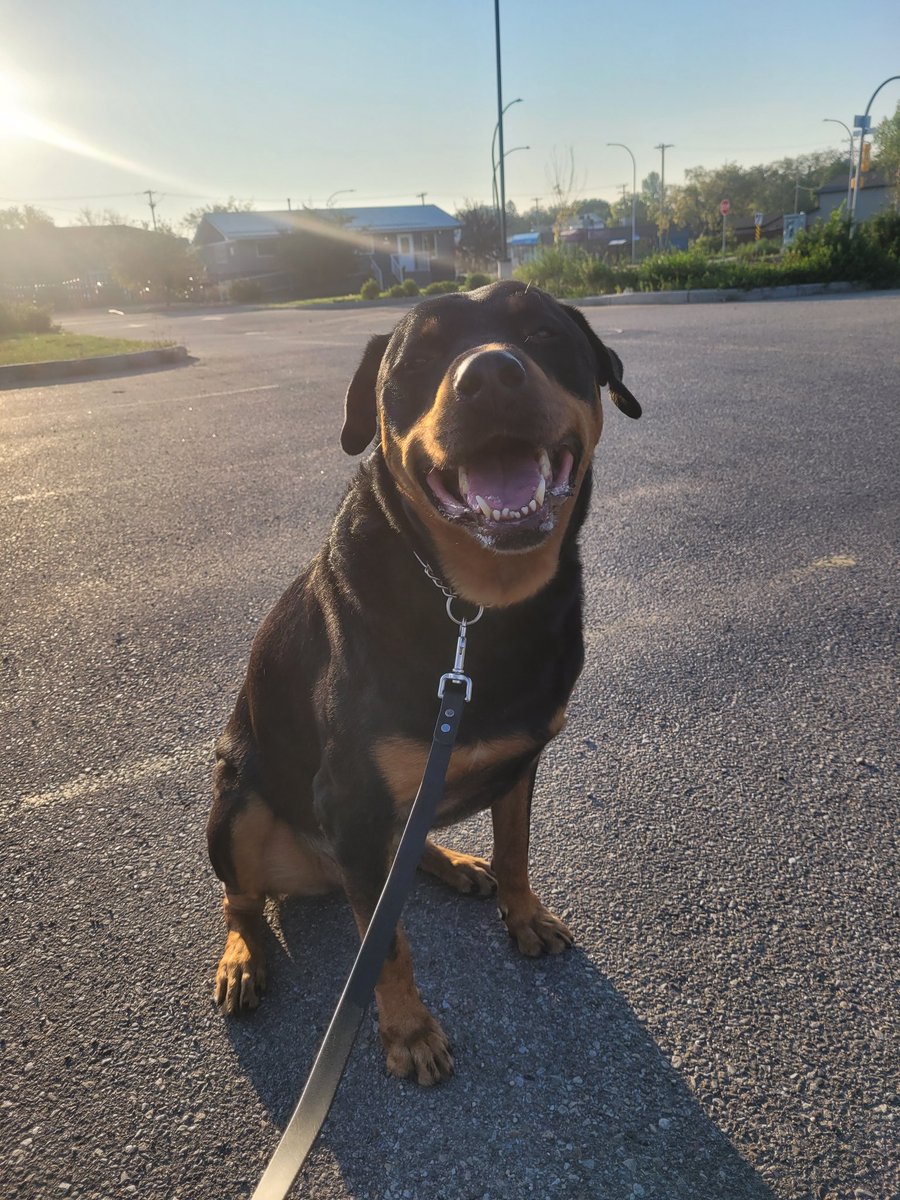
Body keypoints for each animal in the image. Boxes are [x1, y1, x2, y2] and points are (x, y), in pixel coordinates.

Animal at [208, 280, 643, 1089]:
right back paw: (243, 957)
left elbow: (515, 847)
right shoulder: (349, 794)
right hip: (238, 799)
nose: (491, 374)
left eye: (543, 332)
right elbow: (387, 946)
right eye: (420, 357)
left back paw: (454, 863)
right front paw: (408, 1032)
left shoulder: (522, 758)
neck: (475, 606)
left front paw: (522, 912)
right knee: (241, 898)